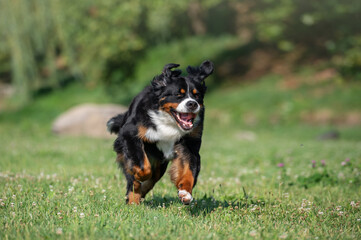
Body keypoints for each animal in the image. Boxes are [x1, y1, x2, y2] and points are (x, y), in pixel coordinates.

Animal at [107, 60, 214, 204]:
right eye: (178, 95)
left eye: (197, 95)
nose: (192, 104)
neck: (169, 121)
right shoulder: (130, 133)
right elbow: (143, 167)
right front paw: (139, 175)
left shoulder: (189, 144)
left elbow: (189, 170)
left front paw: (185, 193)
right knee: (135, 180)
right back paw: (133, 200)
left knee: (152, 179)